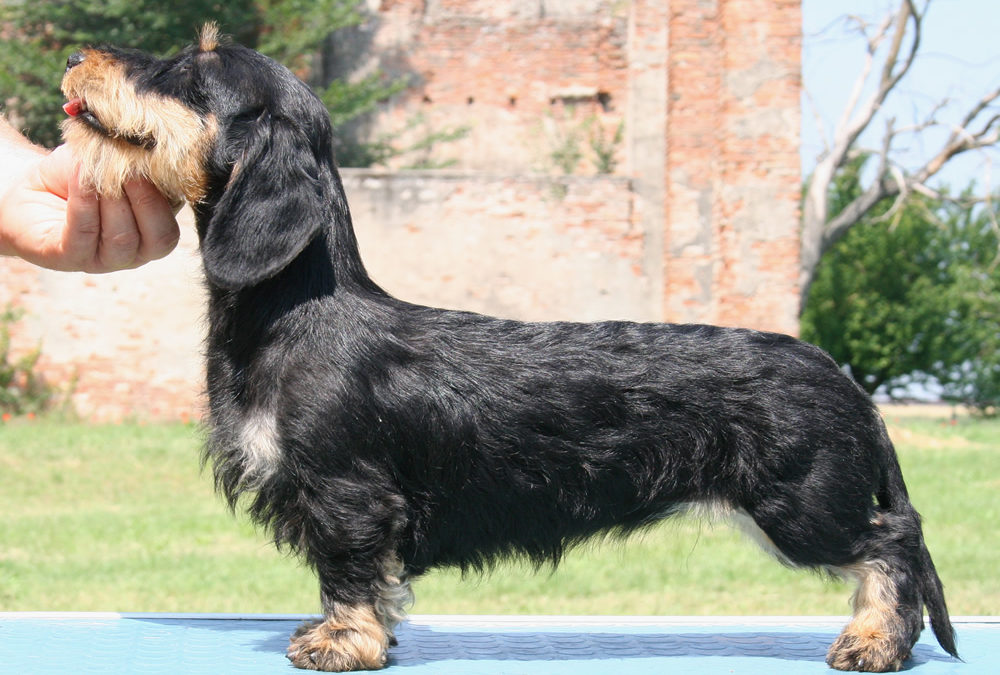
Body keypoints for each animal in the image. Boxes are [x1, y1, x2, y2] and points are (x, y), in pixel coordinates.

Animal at [62, 25, 960, 672]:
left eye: (190, 70)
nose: (74, 56)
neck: (301, 309)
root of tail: (843, 380)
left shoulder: (348, 493)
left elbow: (349, 573)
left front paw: (341, 641)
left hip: (799, 504)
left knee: (893, 543)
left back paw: (875, 640)